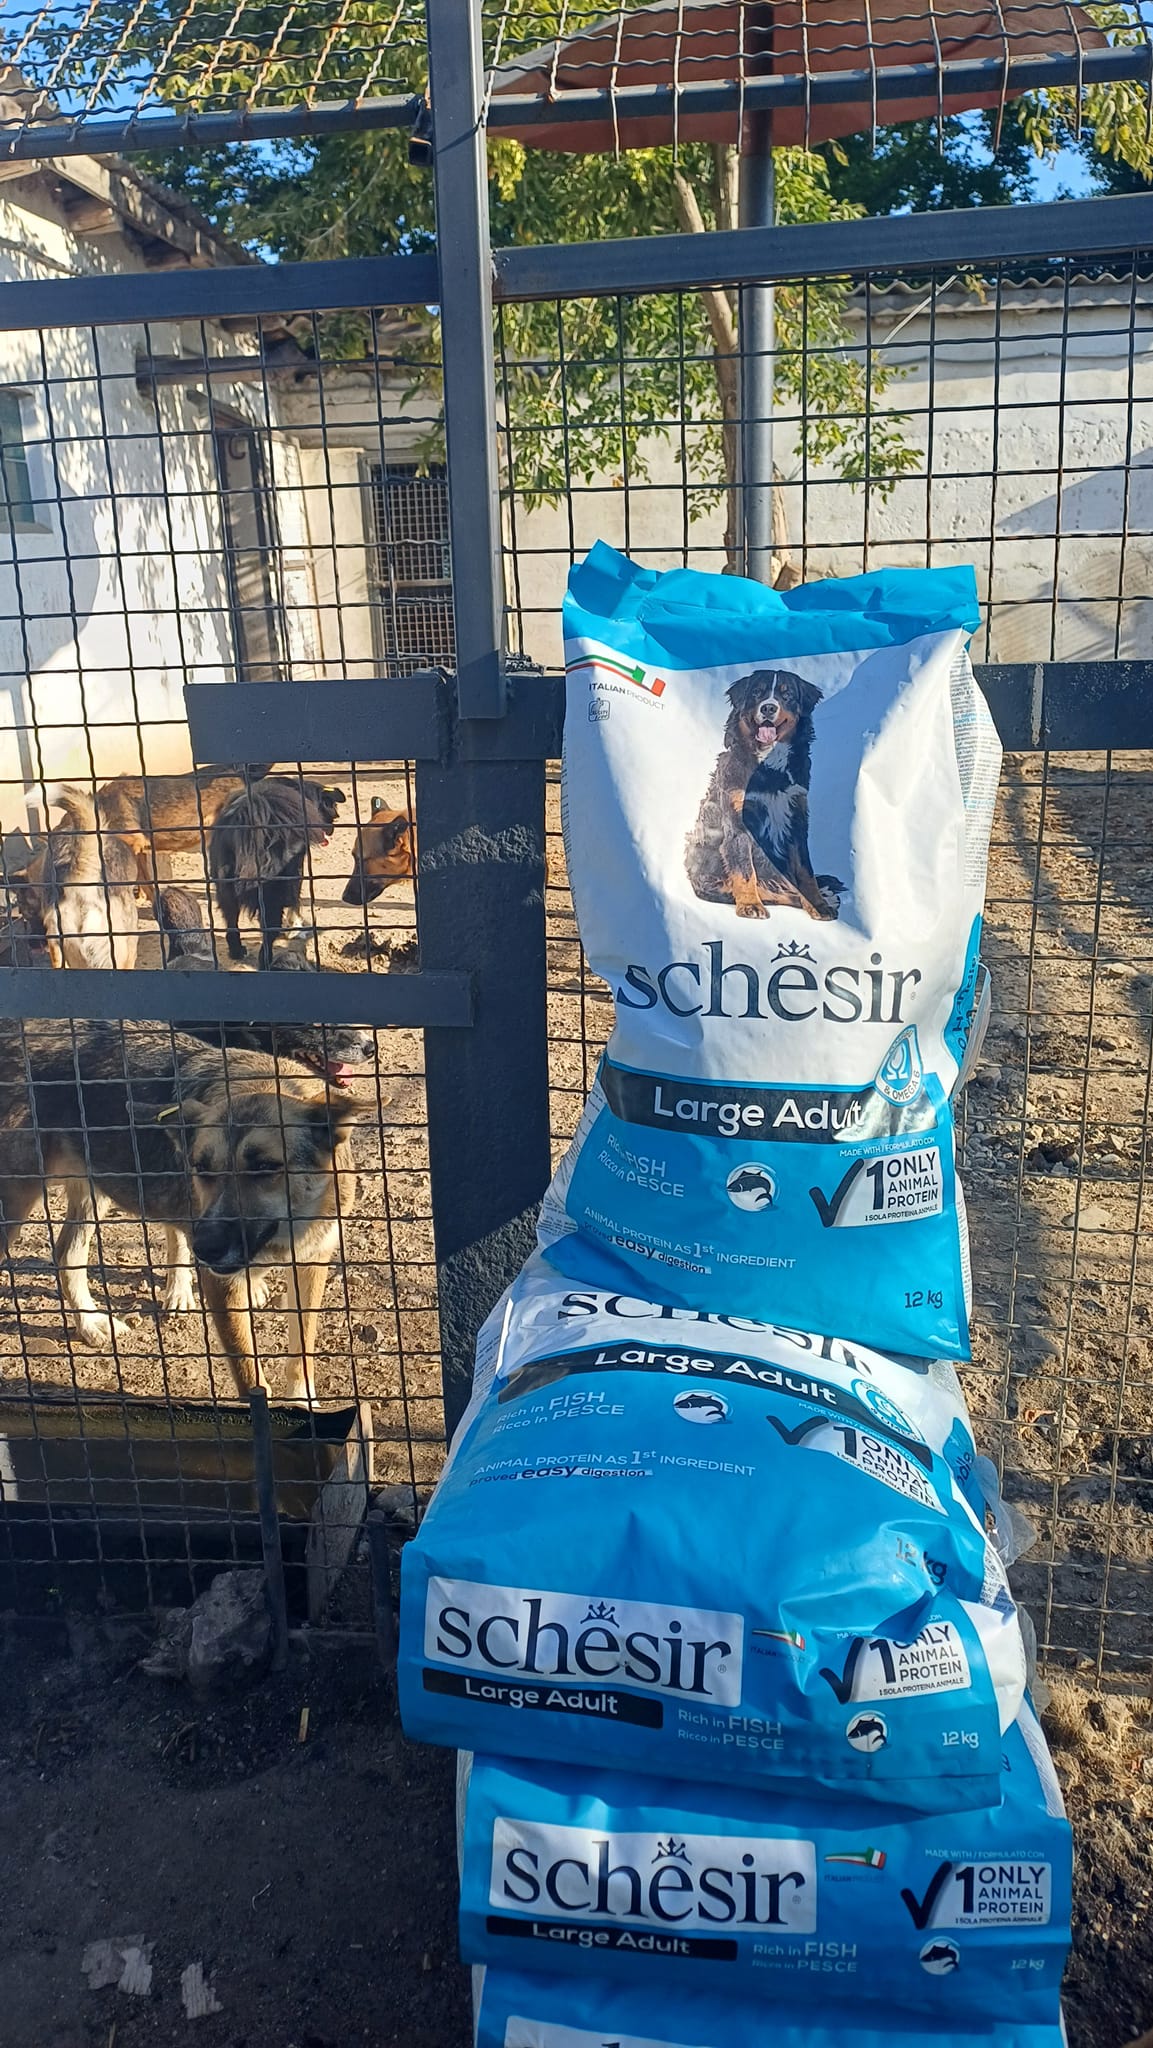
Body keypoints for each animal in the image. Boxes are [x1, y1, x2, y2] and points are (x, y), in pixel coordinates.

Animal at [0, 1020, 363, 1402]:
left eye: (265, 1167)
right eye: (200, 1167)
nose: (206, 1248)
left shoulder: (312, 1259)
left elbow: (303, 1348)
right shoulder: (222, 1286)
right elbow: (251, 1378)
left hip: (94, 1187)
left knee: (66, 1253)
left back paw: (91, 1323)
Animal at [209, 777, 346, 967]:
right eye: (332, 808)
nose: (333, 827)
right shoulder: (295, 866)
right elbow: (295, 897)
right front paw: (295, 927)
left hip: (224, 886)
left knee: (231, 922)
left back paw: (237, 951)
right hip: (268, 894)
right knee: (268, 931)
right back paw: (266, 961)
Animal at [685, 670, 839, 920]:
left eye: (787, 694)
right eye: (757, 692)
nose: (768, 707)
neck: (769, 768)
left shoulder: (796, 820)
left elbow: (806, 872)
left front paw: (817, 904)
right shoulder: (738, 824)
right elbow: (745, 870)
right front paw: (750, 905)